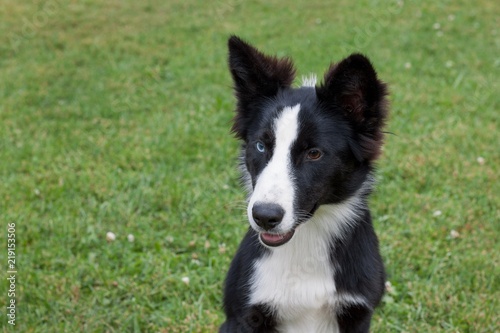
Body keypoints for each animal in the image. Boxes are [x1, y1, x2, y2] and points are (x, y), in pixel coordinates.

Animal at [221, 35, 388, 330]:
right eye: (261, 145)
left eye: (314, 153)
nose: (264, 217)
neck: (306, 239)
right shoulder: (244, 317)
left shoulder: (358, 312)